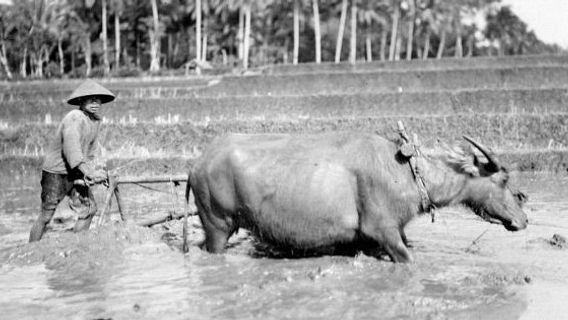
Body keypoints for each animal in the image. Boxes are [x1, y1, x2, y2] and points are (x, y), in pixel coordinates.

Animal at [187, 132, 528, 262]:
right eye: (503, 179)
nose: (523, 220)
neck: (408, 173)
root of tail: (197, 165)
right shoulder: (383, 231)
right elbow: (407, 258)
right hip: (218, 225)